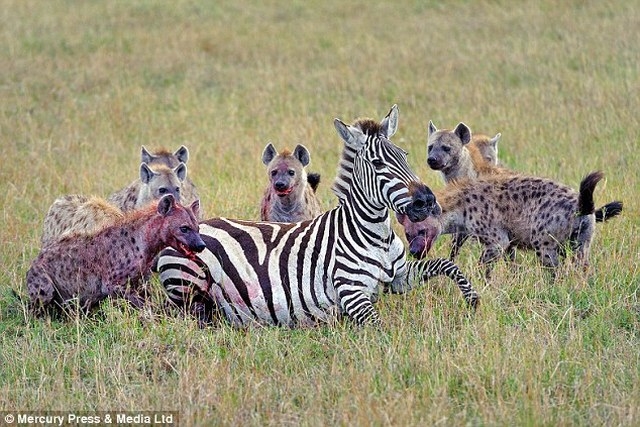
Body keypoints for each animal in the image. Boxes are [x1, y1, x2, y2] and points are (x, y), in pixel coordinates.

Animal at [157, 105, 479, 327]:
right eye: (377, 164)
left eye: (404, 156)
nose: (427, 201)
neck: (373, 234)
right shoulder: (352, 293)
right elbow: (381, 327)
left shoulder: (399, 276)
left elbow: (447, 265)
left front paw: (472, 301)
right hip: (188, 282)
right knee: (192, 314)